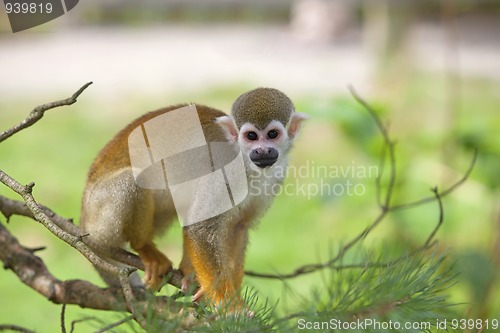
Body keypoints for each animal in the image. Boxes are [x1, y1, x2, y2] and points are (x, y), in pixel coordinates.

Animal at [80, 87, 306, 308]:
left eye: (272, 134)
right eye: (251, 136)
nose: (262, 151)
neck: (246, 163)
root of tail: (83, 221)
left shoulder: (276, 175)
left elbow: (238, 226)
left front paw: (235, 299)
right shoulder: (226, 171)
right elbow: (201, 227)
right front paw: (229, 306)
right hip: (99, 216)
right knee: (133, 180)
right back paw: (143, 246)